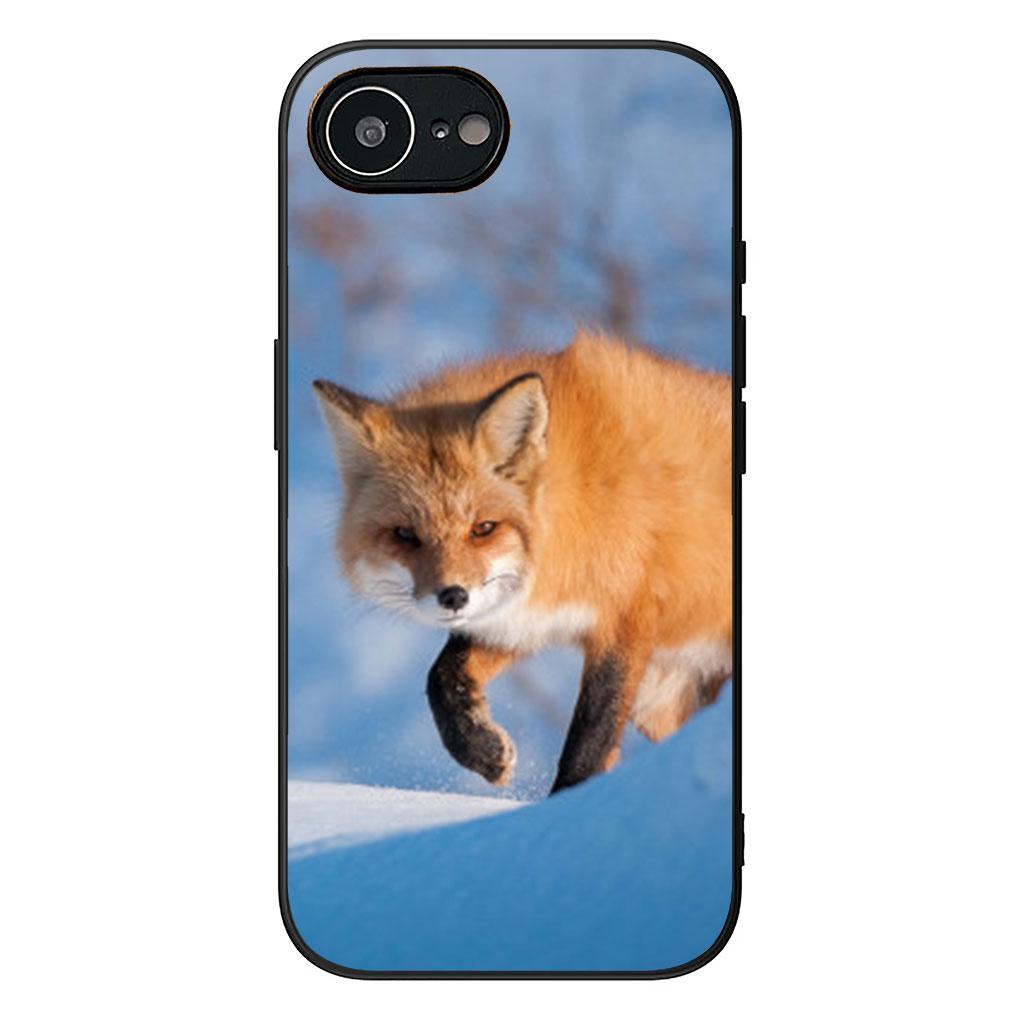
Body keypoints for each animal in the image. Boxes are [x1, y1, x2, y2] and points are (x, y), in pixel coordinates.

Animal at [313, 332, 732, 794]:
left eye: (483, 528)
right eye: (405, 535)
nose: (452, 597)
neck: (578, 497)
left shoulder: (625, 620)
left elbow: (591, 738)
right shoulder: (520, 616)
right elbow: (442, 677)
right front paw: (481, 751)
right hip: (657, 702)